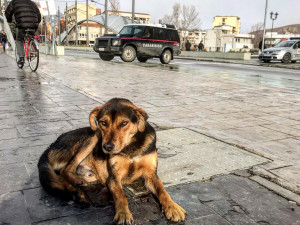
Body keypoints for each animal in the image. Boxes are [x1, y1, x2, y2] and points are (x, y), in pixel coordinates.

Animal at [37, 97, 185, 224]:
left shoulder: (151, 174)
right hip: (94, 136)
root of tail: (51, 145)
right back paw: (78, 188)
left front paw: (173, 207)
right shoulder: (113, 177)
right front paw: (123, 214)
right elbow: (120, 196)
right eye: (103, 122)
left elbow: (162, 191)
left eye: (124, 123)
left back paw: (78, 192)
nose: (107, 147)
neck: (130, 147)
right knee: (64, 170)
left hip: (92, 168)